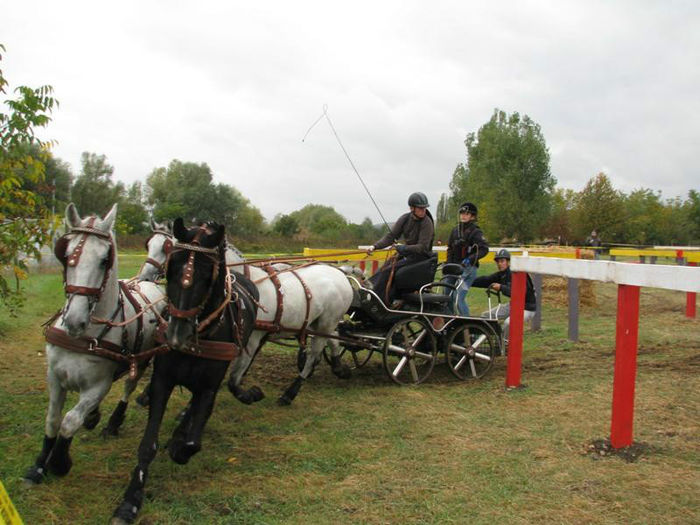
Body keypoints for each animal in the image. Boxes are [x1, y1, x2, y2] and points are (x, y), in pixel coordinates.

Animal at [24, 204, 167, 484]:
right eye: (66, 254)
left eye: (104, 260)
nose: (74, 321)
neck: (83, 337)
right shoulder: (54, 377)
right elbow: (52, 419)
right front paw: (39, 465)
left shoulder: (98, 387)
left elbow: (69, 421)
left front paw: (59, 462)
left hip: (141, 361)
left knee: (128, 387)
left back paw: (113, 422)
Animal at [139, 227, 352, 404]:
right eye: (148, 244)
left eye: (167, 248)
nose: (145, 278)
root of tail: (340, 274)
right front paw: (148, 394)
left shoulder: (252, 337)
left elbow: (233, 375)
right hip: (317, 324)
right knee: (333, 340)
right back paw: (338, 367)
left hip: (326, 324)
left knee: (314, 354)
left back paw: (290, 392)